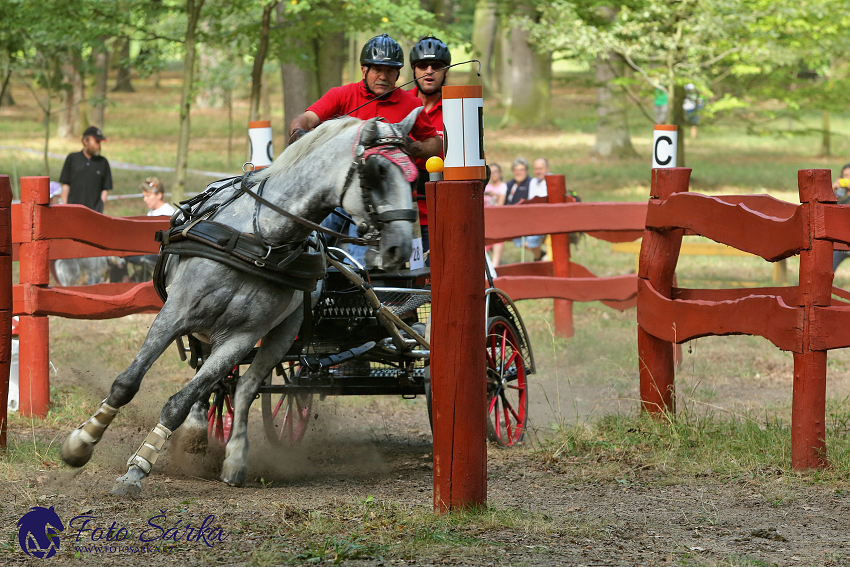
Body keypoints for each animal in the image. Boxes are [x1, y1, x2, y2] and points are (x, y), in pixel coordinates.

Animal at [58, 110, 418, 492]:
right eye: (378, 171)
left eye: (414, 172)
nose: (399, 248)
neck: (262, 241)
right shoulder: (175, 314)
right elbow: (127, 383)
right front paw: (80, 444)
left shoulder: (242, 337)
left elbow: (182, 401)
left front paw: (139, 466)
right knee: (216, 380)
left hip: (282, 333)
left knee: (243, 387)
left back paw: (231, 454)